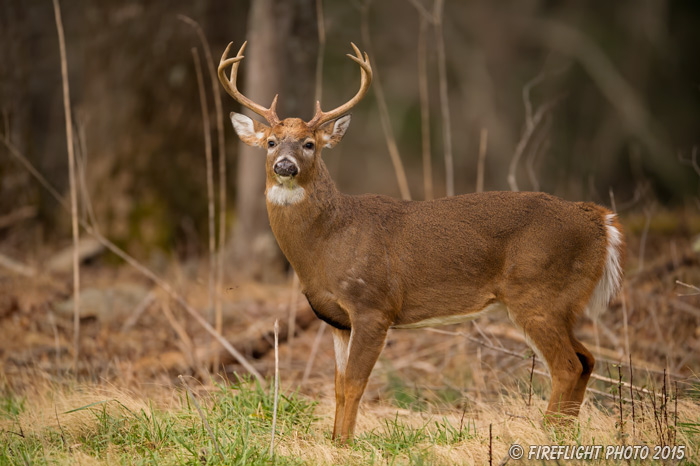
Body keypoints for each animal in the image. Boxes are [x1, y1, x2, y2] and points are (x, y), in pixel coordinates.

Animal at [216, 41, 628, 444]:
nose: (285, 166)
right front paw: (334, 441)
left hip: (539, 293)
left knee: (568, 366)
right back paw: (563, 435)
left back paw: (544, 435)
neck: (327, 242)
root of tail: (601, 221)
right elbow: (336, 385)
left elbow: (354, 383)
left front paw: (346, 444)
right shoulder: (337, 320)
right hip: (562, 304)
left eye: (309, 144)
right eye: (270, 142)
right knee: (588, 360)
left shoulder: (374, 306)